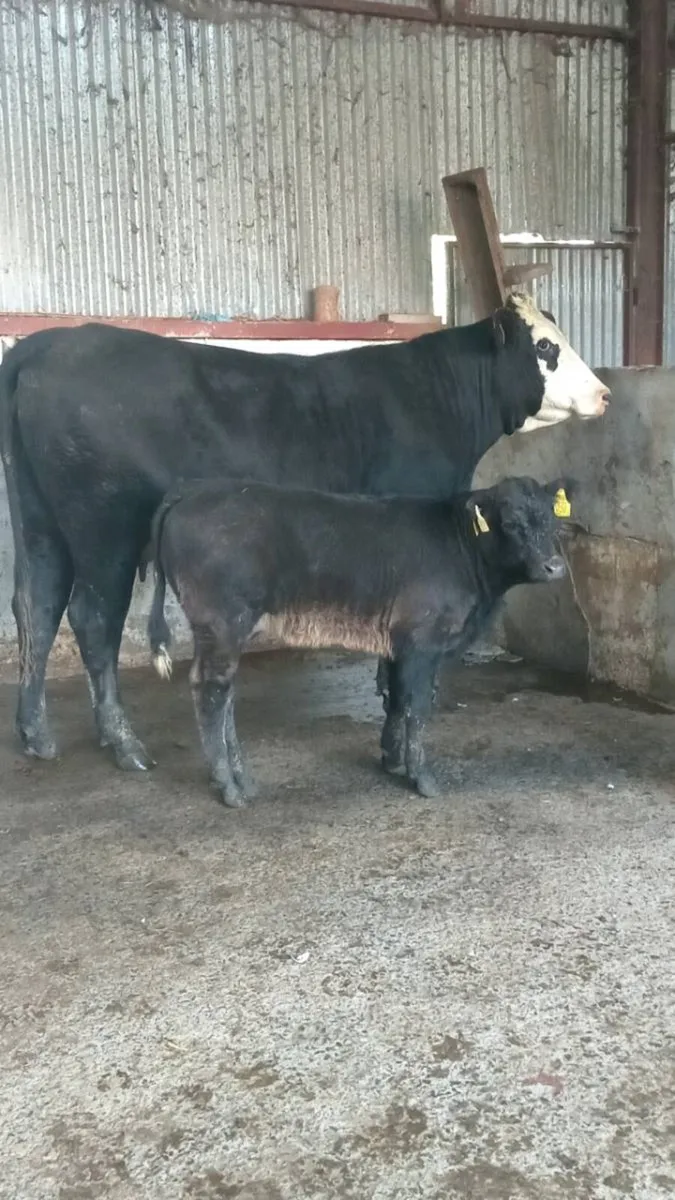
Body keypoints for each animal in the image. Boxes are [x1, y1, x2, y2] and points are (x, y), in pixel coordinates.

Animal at [0, 294, 608, 772]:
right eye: (545, 347)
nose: (604, 393)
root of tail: (46, 344)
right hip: (103, 527)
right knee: (91, 617)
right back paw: (123, 742)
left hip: (39, 524)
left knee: (36, 606)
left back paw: (36, 733)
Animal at [147, 475, 574, 806]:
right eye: (511, 522)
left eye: (553, 518)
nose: (554, 566)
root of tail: (193, 489)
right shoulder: (423, 641)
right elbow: (419, 706)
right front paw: (423, 778)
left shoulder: (402, 646)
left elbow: (399, 700)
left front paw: (395, 761)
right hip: (222, 623)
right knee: (210, 691)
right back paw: (228, 786)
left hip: (224, 630)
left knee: (225, 693)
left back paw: (242, 779)